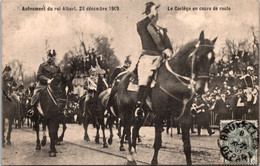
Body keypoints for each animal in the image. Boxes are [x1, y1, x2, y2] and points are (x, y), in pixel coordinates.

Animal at [117, 31, 216, 165]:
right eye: (199, 57)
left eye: (213, 59)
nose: (202, 88)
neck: (173, 79)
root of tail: (122, 79)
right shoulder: (159, 115)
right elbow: (157, 143)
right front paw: (154, 161)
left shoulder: (185, 117)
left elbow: (187, 146)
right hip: (126, 112)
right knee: (126, 130)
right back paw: (130, 155)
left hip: (142, 114)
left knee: (134, 131)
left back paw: (133, 154)